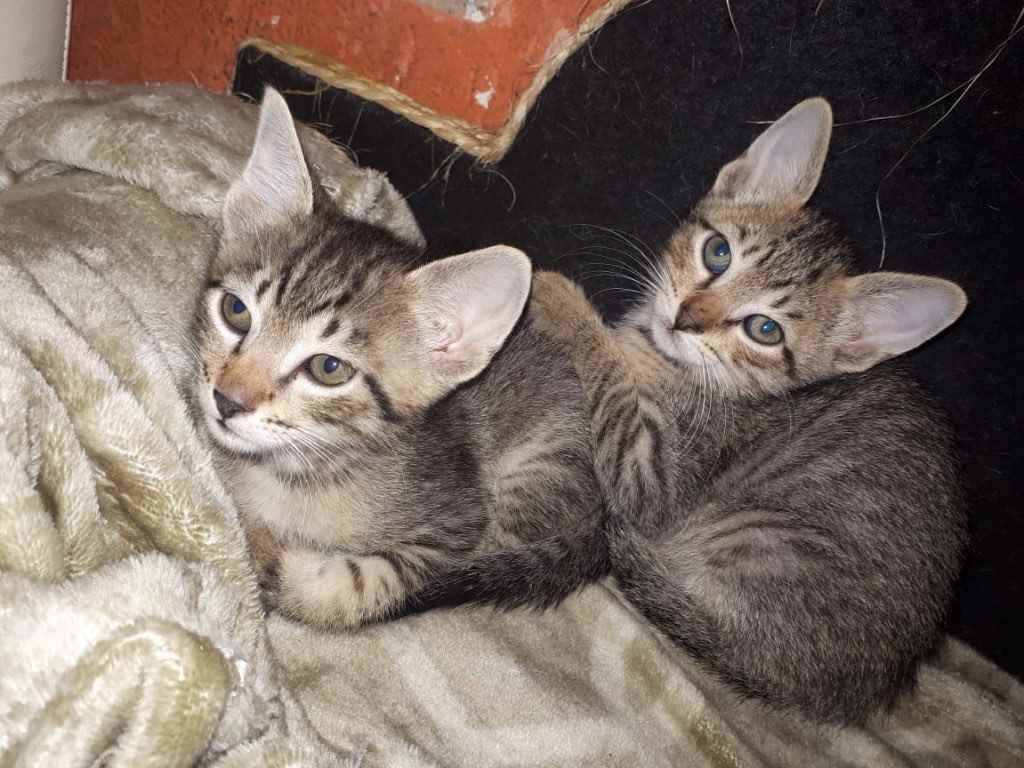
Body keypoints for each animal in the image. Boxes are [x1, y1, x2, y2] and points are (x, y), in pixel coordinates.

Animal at [190, 88, 608, 629]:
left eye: (329, 369)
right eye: (236, 312)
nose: (227, 400)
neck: (298, 471)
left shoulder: (454, 532)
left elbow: (358, 587)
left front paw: (278, 565)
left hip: (535, 472)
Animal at [528, 97, 968, 724]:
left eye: (764, 329)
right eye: (718, 253)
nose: (685, 318)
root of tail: (842, 692)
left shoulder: (654, 476)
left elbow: (609, 378)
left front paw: (559, 298)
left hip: (758, 535)